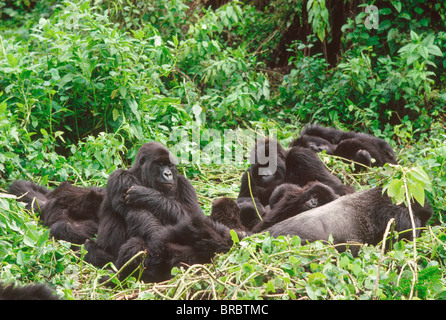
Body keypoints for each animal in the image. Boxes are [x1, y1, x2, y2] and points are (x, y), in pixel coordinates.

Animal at [83, 142, 204, 276]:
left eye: (170, 165)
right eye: (160, 164)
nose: (168, 174)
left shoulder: (185, 183)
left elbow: (194, 217)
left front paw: (145, 194)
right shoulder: (120, 177)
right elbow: (139, 213)